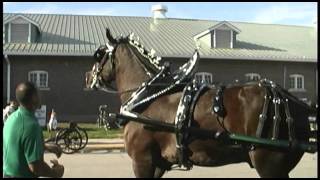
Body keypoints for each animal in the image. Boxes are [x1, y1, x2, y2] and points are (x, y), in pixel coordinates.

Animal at [85, 29, 312, 177]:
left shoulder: (143, 162)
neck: (148, 96)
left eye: (99, 54)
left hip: (269, 166)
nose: (88, 78)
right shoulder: (158, 164)